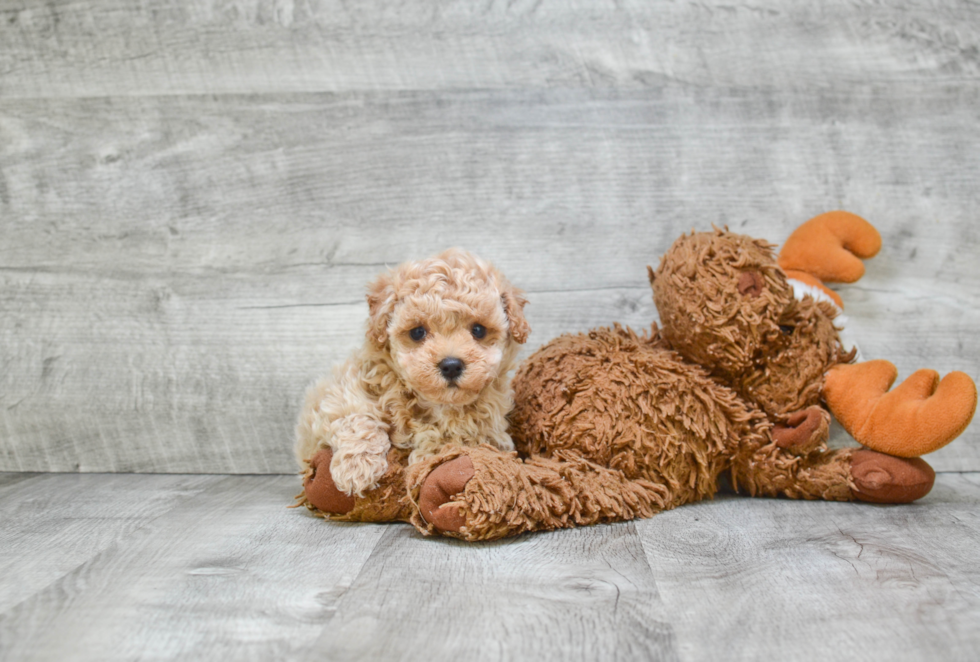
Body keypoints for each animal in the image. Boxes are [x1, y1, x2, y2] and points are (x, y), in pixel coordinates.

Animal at [296, 249, 532, 498]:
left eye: (478, 330)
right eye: (417, 332)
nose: (451, 365)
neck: (437, 405)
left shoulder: (487, 433)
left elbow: (449, 442)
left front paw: (425, 458)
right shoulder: (339, 392)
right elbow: (355, 416)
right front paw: (357, 469)